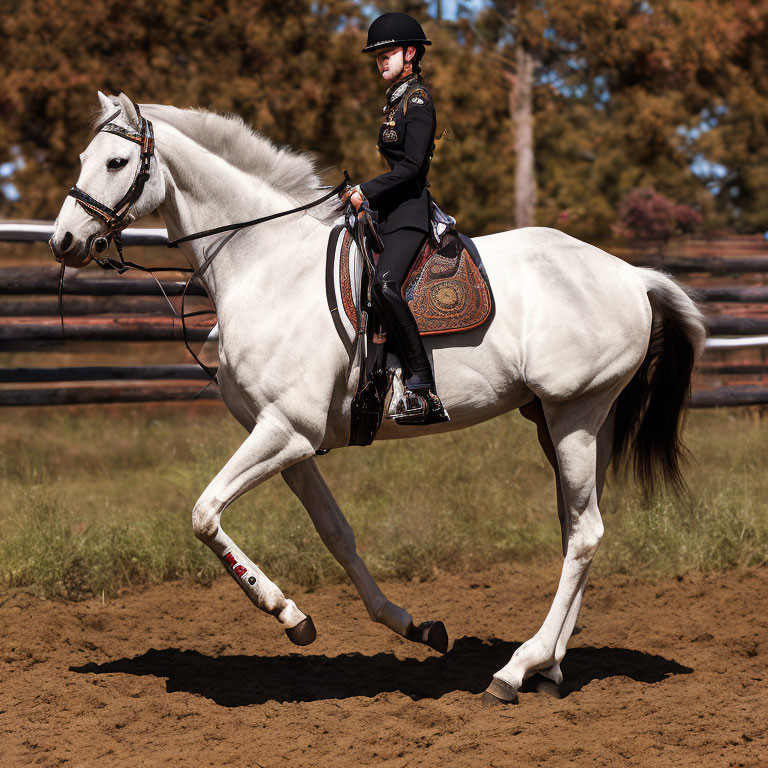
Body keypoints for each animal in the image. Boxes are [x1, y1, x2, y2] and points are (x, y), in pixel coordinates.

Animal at [49, 93, 708, 704]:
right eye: (83, 158)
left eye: (115, 161)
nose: (63, 240)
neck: (266, 264)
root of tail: (632, 275)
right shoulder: (292, 442)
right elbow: (336, 533)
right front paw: (406, 626)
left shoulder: (283, 432)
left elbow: (204, 514)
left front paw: (286, 612)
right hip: (565, 424)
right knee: (578, 531)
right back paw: (549, 670)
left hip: (575, 415)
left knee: (586, 534)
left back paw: (516, 670)